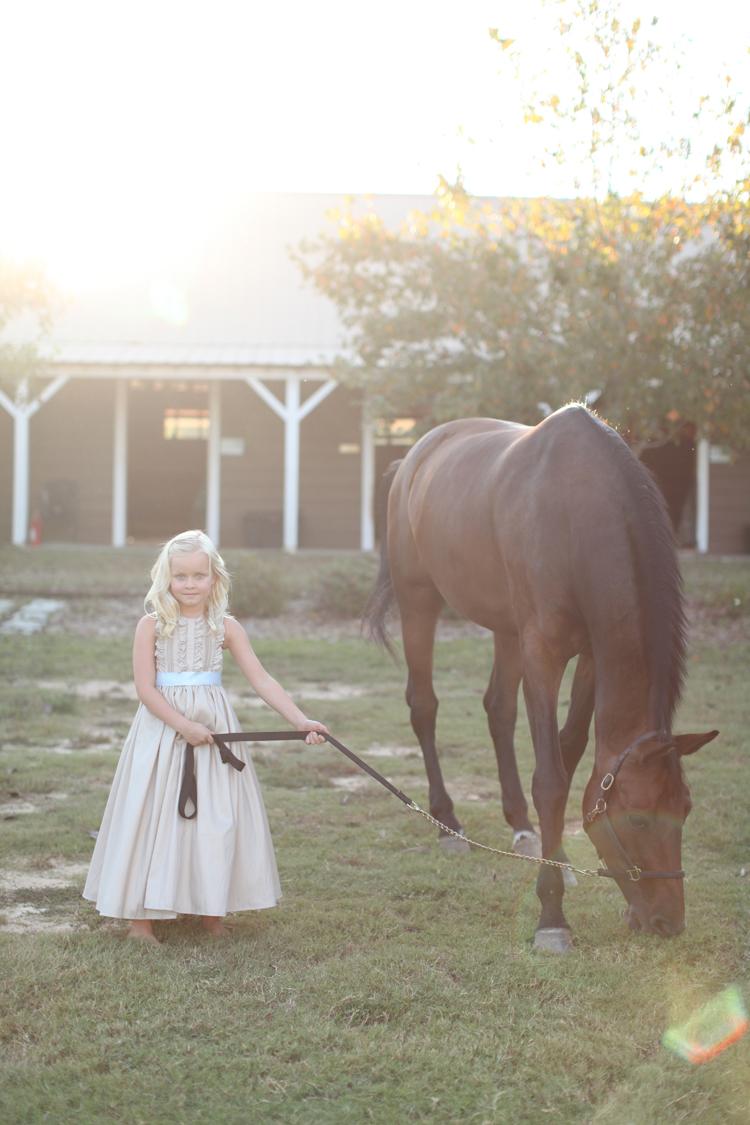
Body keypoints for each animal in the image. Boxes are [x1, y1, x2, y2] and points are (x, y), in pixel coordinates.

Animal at [366, 405, 719, 949]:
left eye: (685, 809)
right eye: (639, 819)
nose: (668, 922)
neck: (574, 515)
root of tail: (411, 460)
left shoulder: (590, 656)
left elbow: (570, 755)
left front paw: (561, 859)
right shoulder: (543, 655)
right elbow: (550, 779)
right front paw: (552, 915)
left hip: (506, 628)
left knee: (498, 709)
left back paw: (522, 827)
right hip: (418, 601)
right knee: (424, 705)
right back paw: (447, 823)